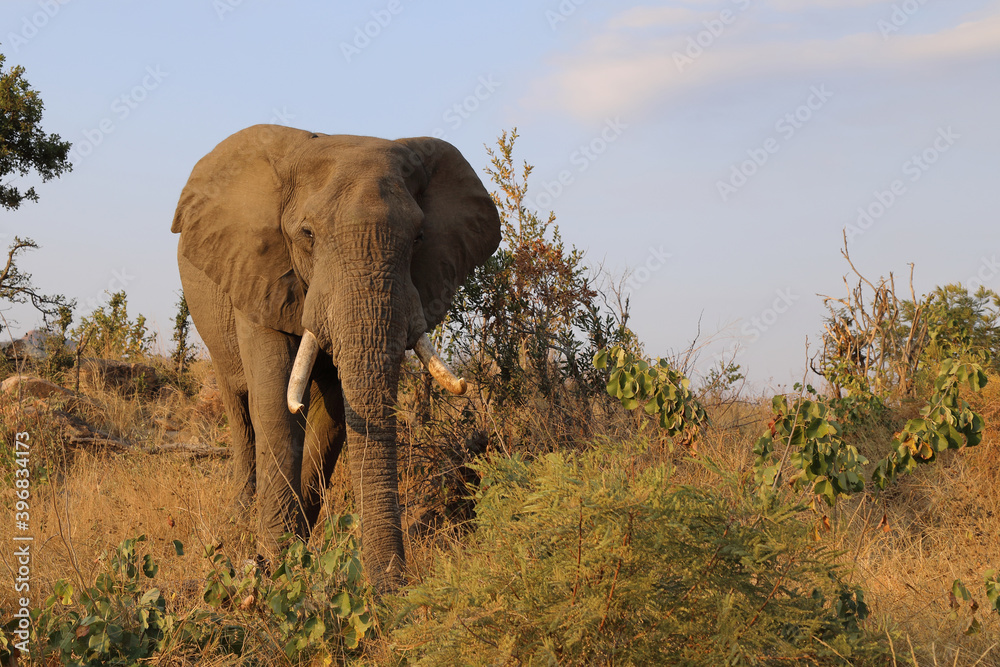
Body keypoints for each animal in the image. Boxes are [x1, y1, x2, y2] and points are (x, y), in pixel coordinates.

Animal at [171, 124, 500, 591]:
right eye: (307, 234)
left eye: (419, 238)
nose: (393, 589)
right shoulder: (260, 276)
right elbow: (275, 403)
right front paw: (274, 564)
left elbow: (332, 415)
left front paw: (295, 549)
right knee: (240, 406)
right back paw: (238, 519)